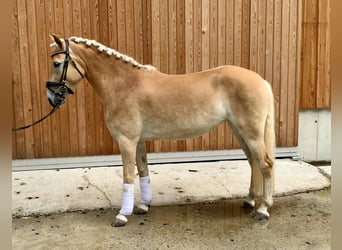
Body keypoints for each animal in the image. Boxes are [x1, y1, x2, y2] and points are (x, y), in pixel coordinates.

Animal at [46, 34, 276, 228]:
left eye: (57, 63)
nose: (51, 97)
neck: (124, 84)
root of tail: (261, 81)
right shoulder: (138, 141)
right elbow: (143, 171)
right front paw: (143, 206)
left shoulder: (126, 141)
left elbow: (128, 175)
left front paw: (122, 215)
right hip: (240, 131)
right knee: (254, 163)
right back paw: (249, 201)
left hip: (251, 133)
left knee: (265, 165)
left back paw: (263, 209)